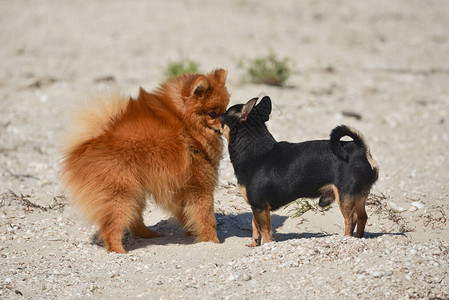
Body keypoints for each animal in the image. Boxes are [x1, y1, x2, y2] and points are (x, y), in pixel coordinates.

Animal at [61, 69, 229, 253]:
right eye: (213, 114)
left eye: (225, 111)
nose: (226, 123)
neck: (186, 125)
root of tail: (85, 145)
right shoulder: (200, 185)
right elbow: (206, 217)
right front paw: (212, 241)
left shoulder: (181, 190)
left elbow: (188, 214)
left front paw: (193, 231)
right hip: (120, 194)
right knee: (111, 228)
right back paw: (119, 251)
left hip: (134, 192)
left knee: (133, 219)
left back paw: (148, 234)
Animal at [220, 95, 378, 246]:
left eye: (223, 116)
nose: (216, 114)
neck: (254, 150)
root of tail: (359, 150)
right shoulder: (257, 207)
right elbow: (255, 226)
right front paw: (254, 245)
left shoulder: (260, 207)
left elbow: (265, 230)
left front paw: (267, 247)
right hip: (359, 195)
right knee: (362, 217)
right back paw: (358, 238)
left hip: (345, 196)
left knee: (351, 219)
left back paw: (346, 239)